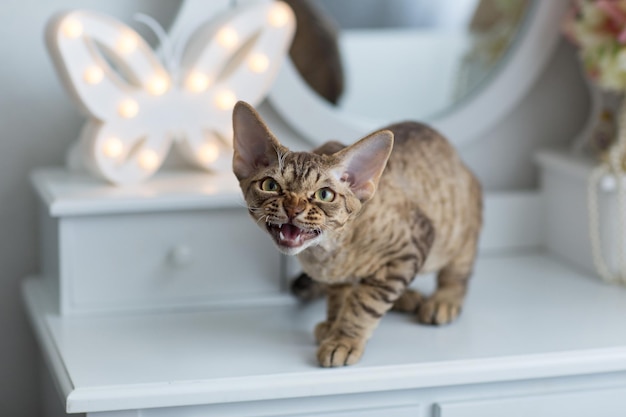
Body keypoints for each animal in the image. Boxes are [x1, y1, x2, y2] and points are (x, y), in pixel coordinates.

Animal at [232, 101, 480, 368]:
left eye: (324, 195)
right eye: (270, 186)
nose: (293, 208)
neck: (325, 255)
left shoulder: (411, 245)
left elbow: (366, 304)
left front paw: (344, 340)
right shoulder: (340, 277)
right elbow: (339, 297)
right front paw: (333, 325)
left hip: (462, 229)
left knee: (457, 272)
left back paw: (444, 300)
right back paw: (408, 297)